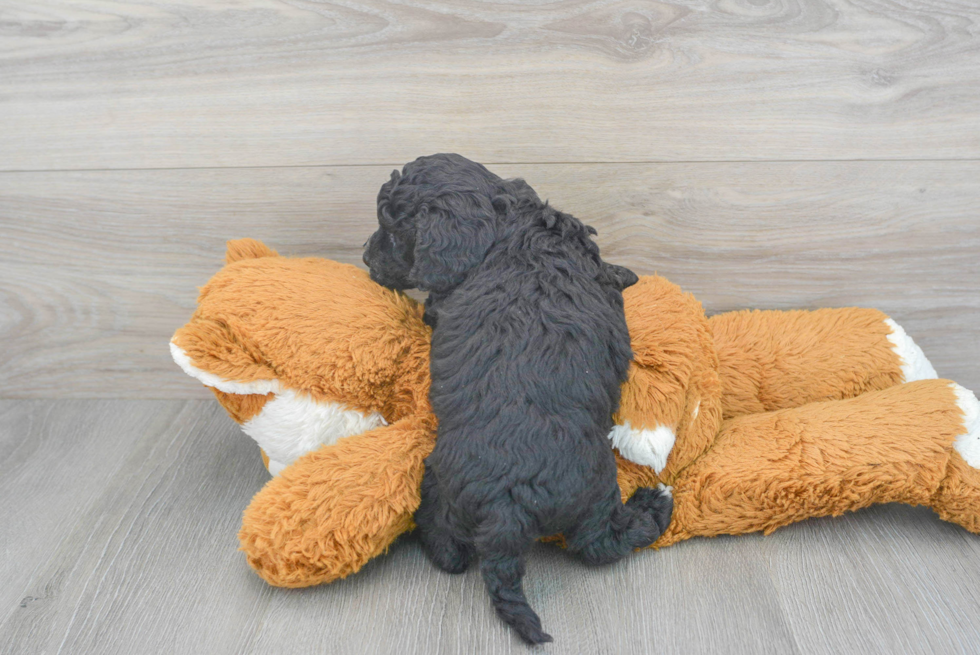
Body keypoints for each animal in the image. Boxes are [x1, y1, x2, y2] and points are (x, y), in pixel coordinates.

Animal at [362, 155, 672, 644]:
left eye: (392, 231)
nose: (364, 258)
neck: (508, 227)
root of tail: (506, 509)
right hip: (594, 490)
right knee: (601, 545)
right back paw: (654, 507)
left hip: (445, 486)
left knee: (447, 548)